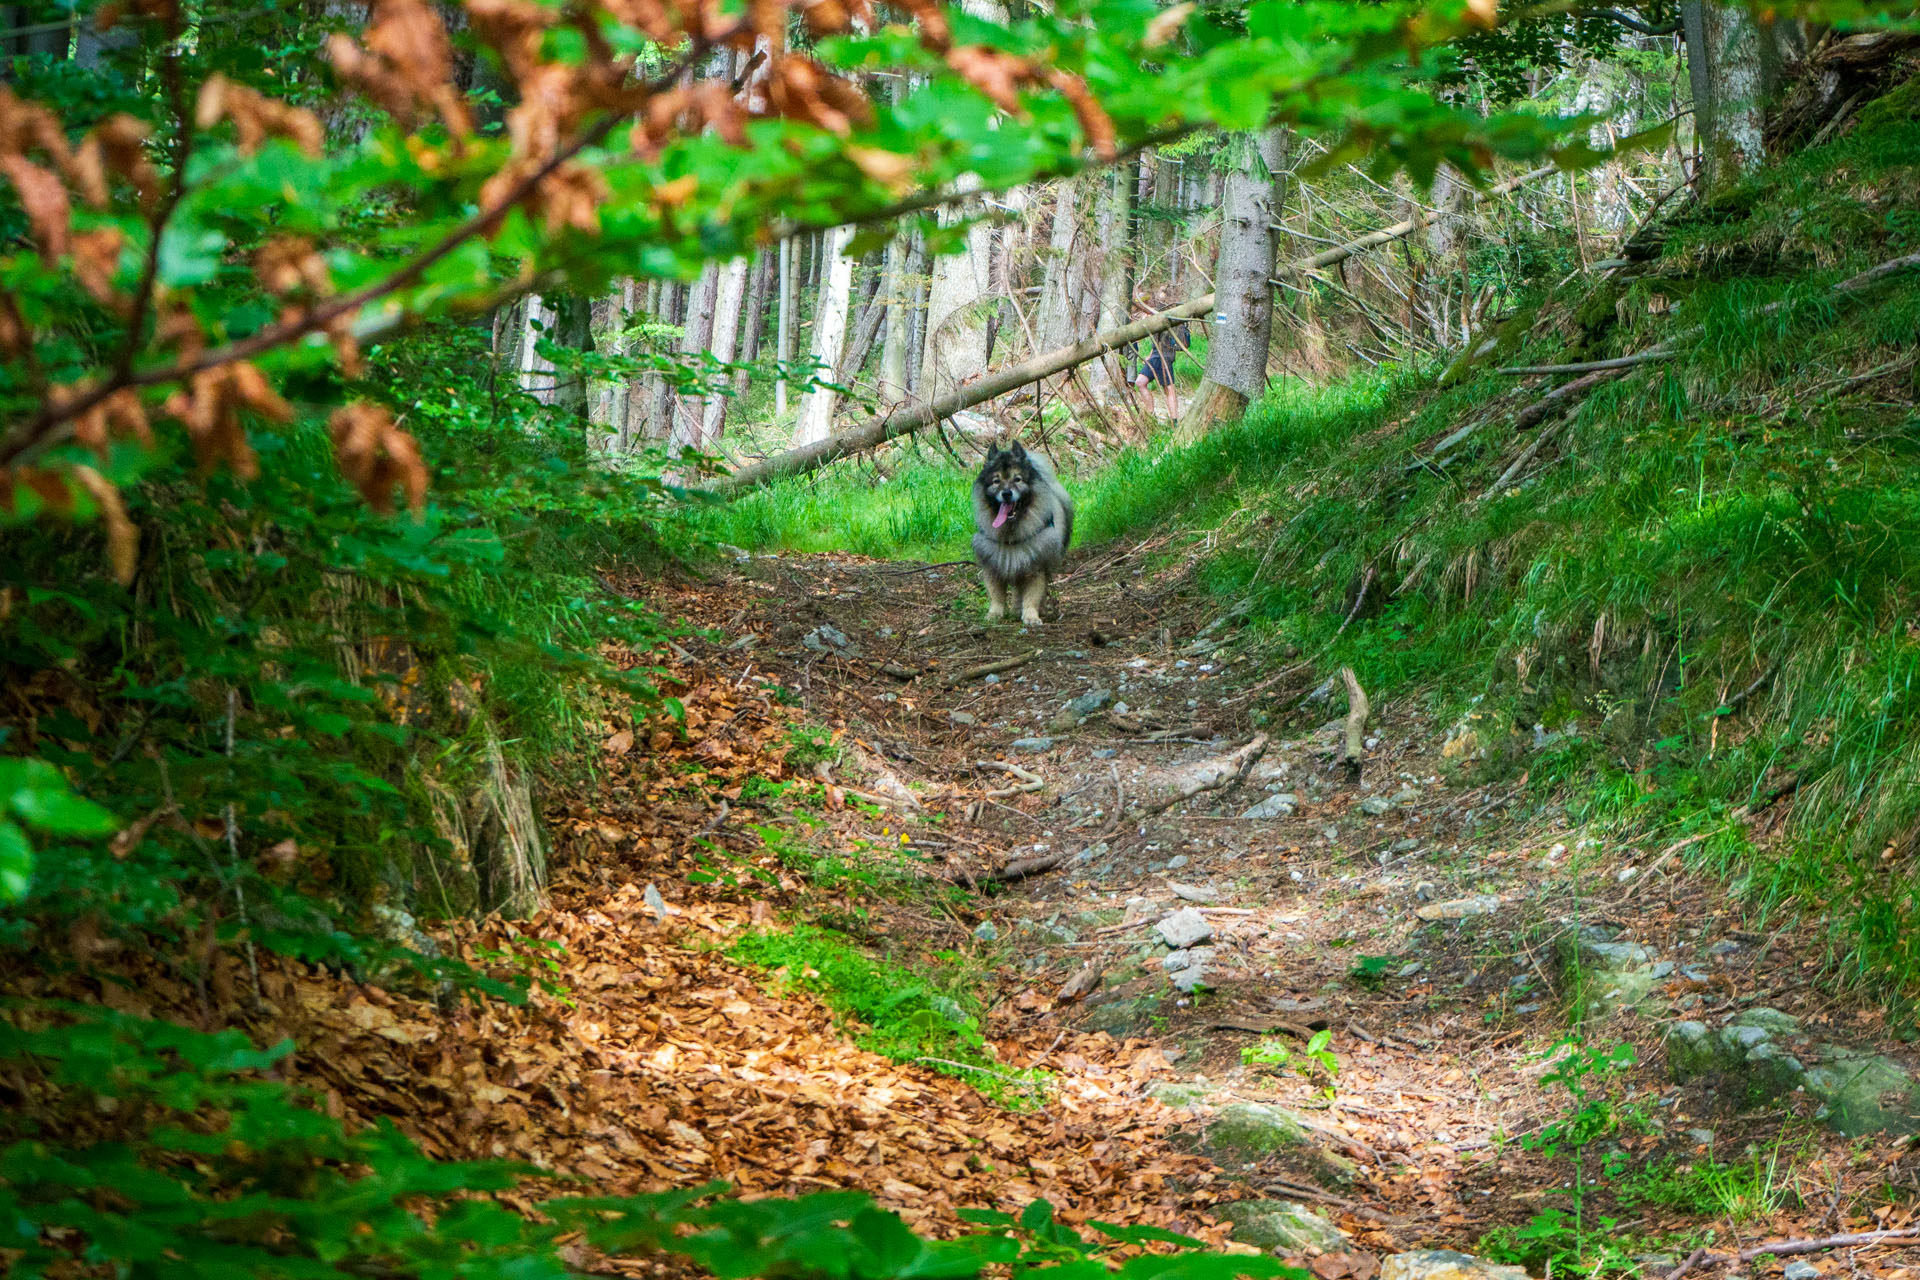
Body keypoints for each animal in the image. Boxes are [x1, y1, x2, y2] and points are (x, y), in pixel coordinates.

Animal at [967, 441, 1075, 625]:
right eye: (996, 481)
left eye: (1017, 479)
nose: (1006, 493)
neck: (1012, 531)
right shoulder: (994, 562)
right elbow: (996, 595)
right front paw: (994, 614)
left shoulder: (1035, 565)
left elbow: (1032, 595)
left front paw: (1031, 616)